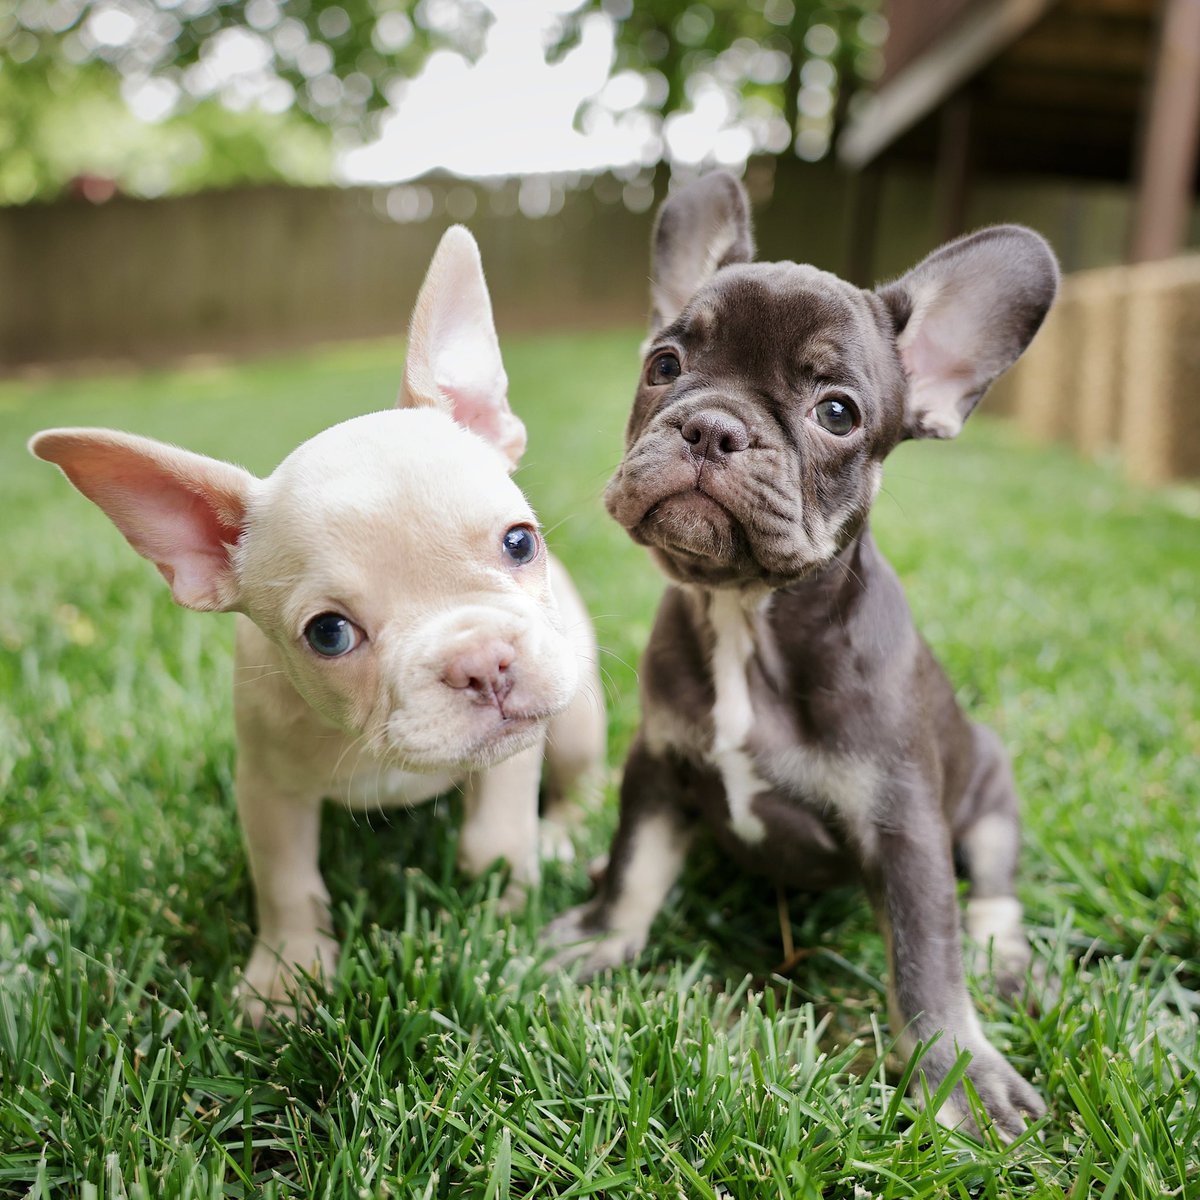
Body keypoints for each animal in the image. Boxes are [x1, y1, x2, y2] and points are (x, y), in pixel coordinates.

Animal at [32, 223, 604, 1022]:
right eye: (329, 634)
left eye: (520, 542)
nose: (482, 660)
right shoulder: (269, 789)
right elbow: (287, 883)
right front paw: (286, 974)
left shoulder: (518, 749)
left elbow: (496, 834)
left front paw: (505, 898)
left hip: (577, 714)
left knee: (585, 778)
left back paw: (564, 834)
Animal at [547, 174, 1060, 1137]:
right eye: (664, 364)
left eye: (837, 414)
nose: (711, 427)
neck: (748, 617)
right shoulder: (657, 767)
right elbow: (635, 863)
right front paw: (601, 933)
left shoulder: (905, 828)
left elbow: (926, 960)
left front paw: (959, 1075)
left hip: (990, 797)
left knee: (994, 889)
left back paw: (1005, 955)